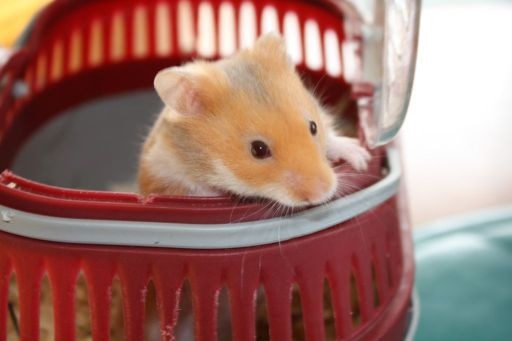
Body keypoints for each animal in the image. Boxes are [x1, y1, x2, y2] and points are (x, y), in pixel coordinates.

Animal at [140, 33, 370, 206]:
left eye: (313, 127)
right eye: (258, 150)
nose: (321, 195)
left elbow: (332, 138)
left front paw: (362, 159)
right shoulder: (164, 177)